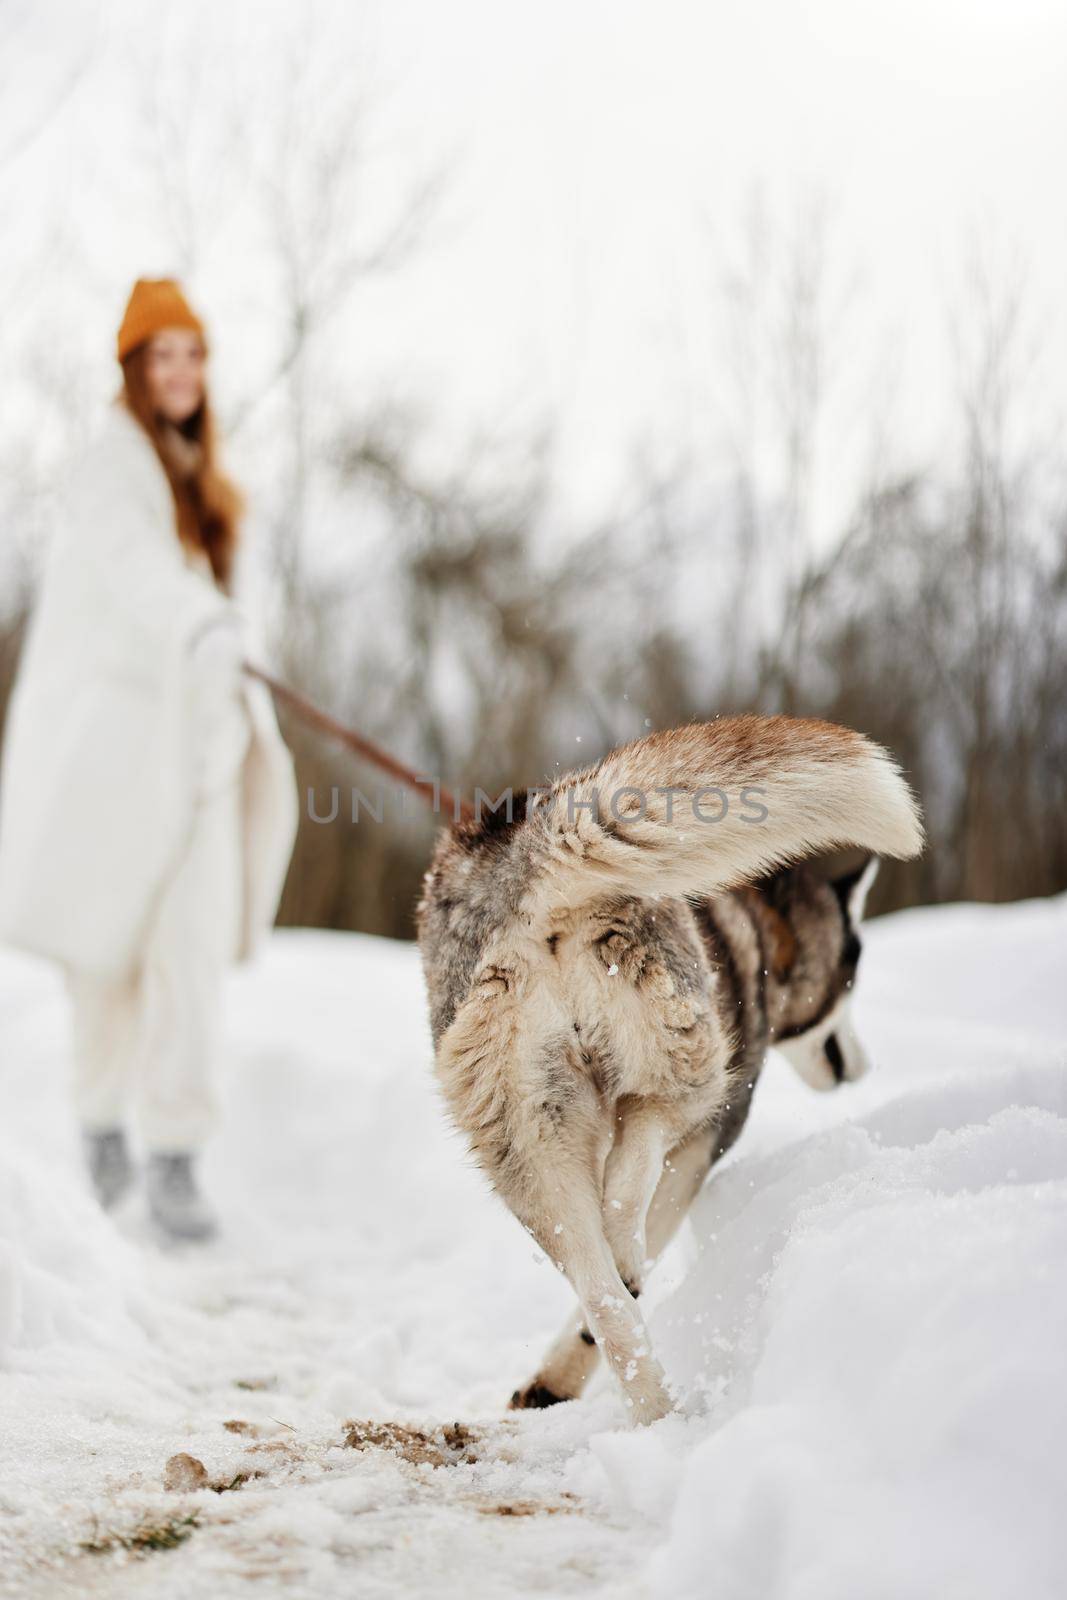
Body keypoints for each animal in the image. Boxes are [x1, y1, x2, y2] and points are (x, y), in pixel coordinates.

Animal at [412, 713, 921, 1427]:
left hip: (529, 1138)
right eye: (852, 977)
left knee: (601, 1291)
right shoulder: (711, 1137)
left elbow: (589, 1300)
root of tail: (528, 850)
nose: (864, 1065)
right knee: (636, 1160)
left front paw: (551, 1383)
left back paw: (653, 1409)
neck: (757, 933)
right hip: (690, 1068)